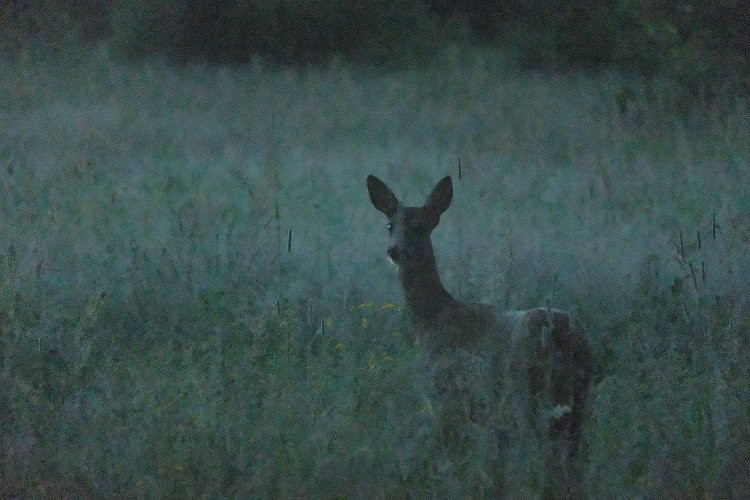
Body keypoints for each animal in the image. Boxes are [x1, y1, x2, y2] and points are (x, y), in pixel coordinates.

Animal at [368, 175, 596, 492]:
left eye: (421, 226)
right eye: (390, 225)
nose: (394, 251)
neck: (434, 317)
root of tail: (561, 334)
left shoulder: (444, 395)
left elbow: (445, 453)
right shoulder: (491, 422)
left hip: (523, 392)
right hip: (578, 401)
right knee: (572, 460)